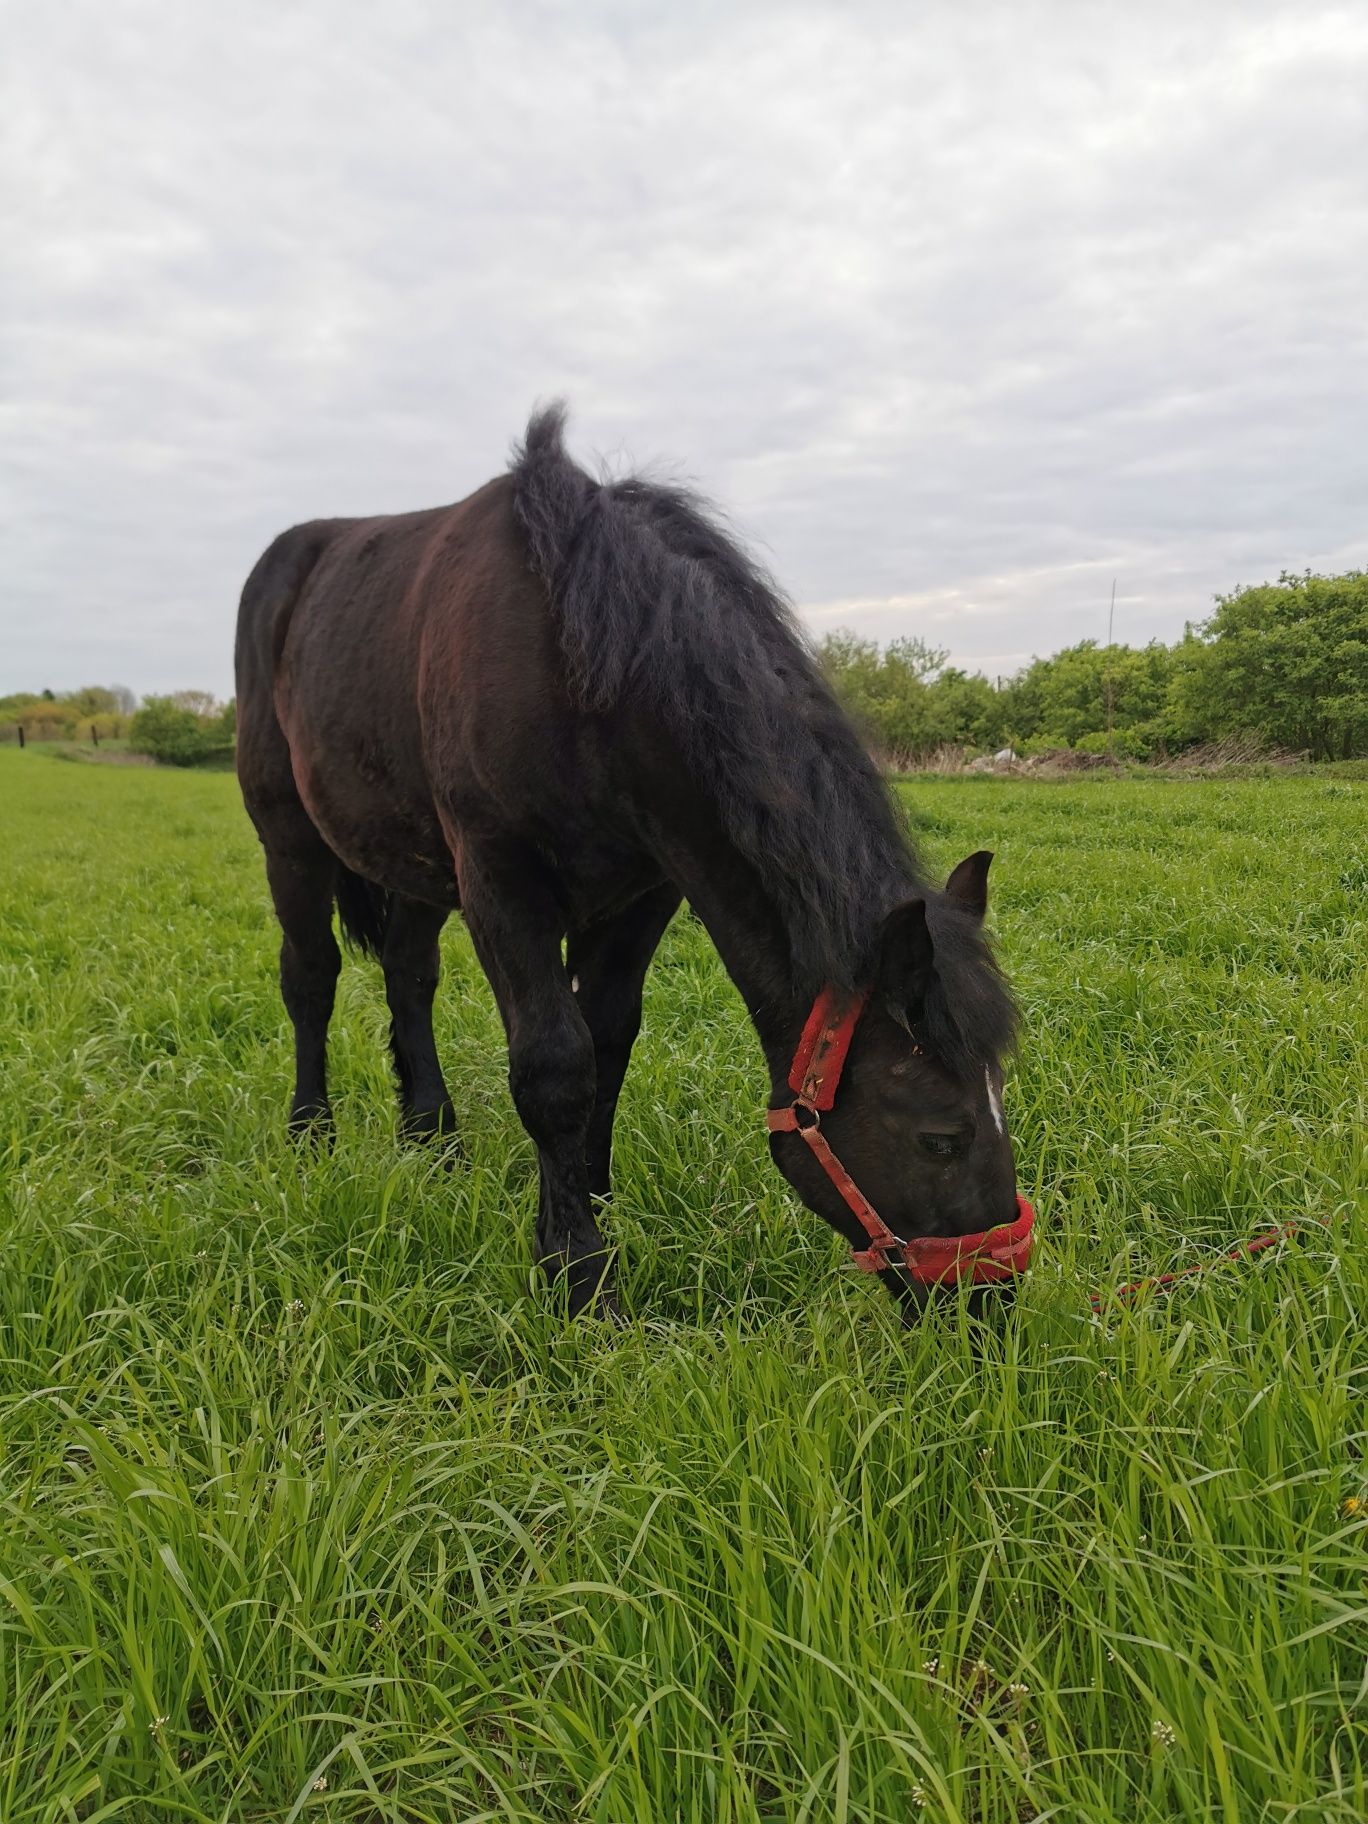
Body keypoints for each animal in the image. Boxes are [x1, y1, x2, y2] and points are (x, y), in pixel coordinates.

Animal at [238, 410, 1028, 1327]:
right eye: (940, 1136)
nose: (993, 1305)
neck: (579, 668)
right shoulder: (501, 882)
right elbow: (554, 1066)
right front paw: (577, 1271)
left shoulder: (645, 895)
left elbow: (608, 1046)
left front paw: (589, 1197)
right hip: (288, 842)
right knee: (311, 977)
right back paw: (311, 1132)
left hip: (412, 865)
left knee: (408, 978)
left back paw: (432, 1138)